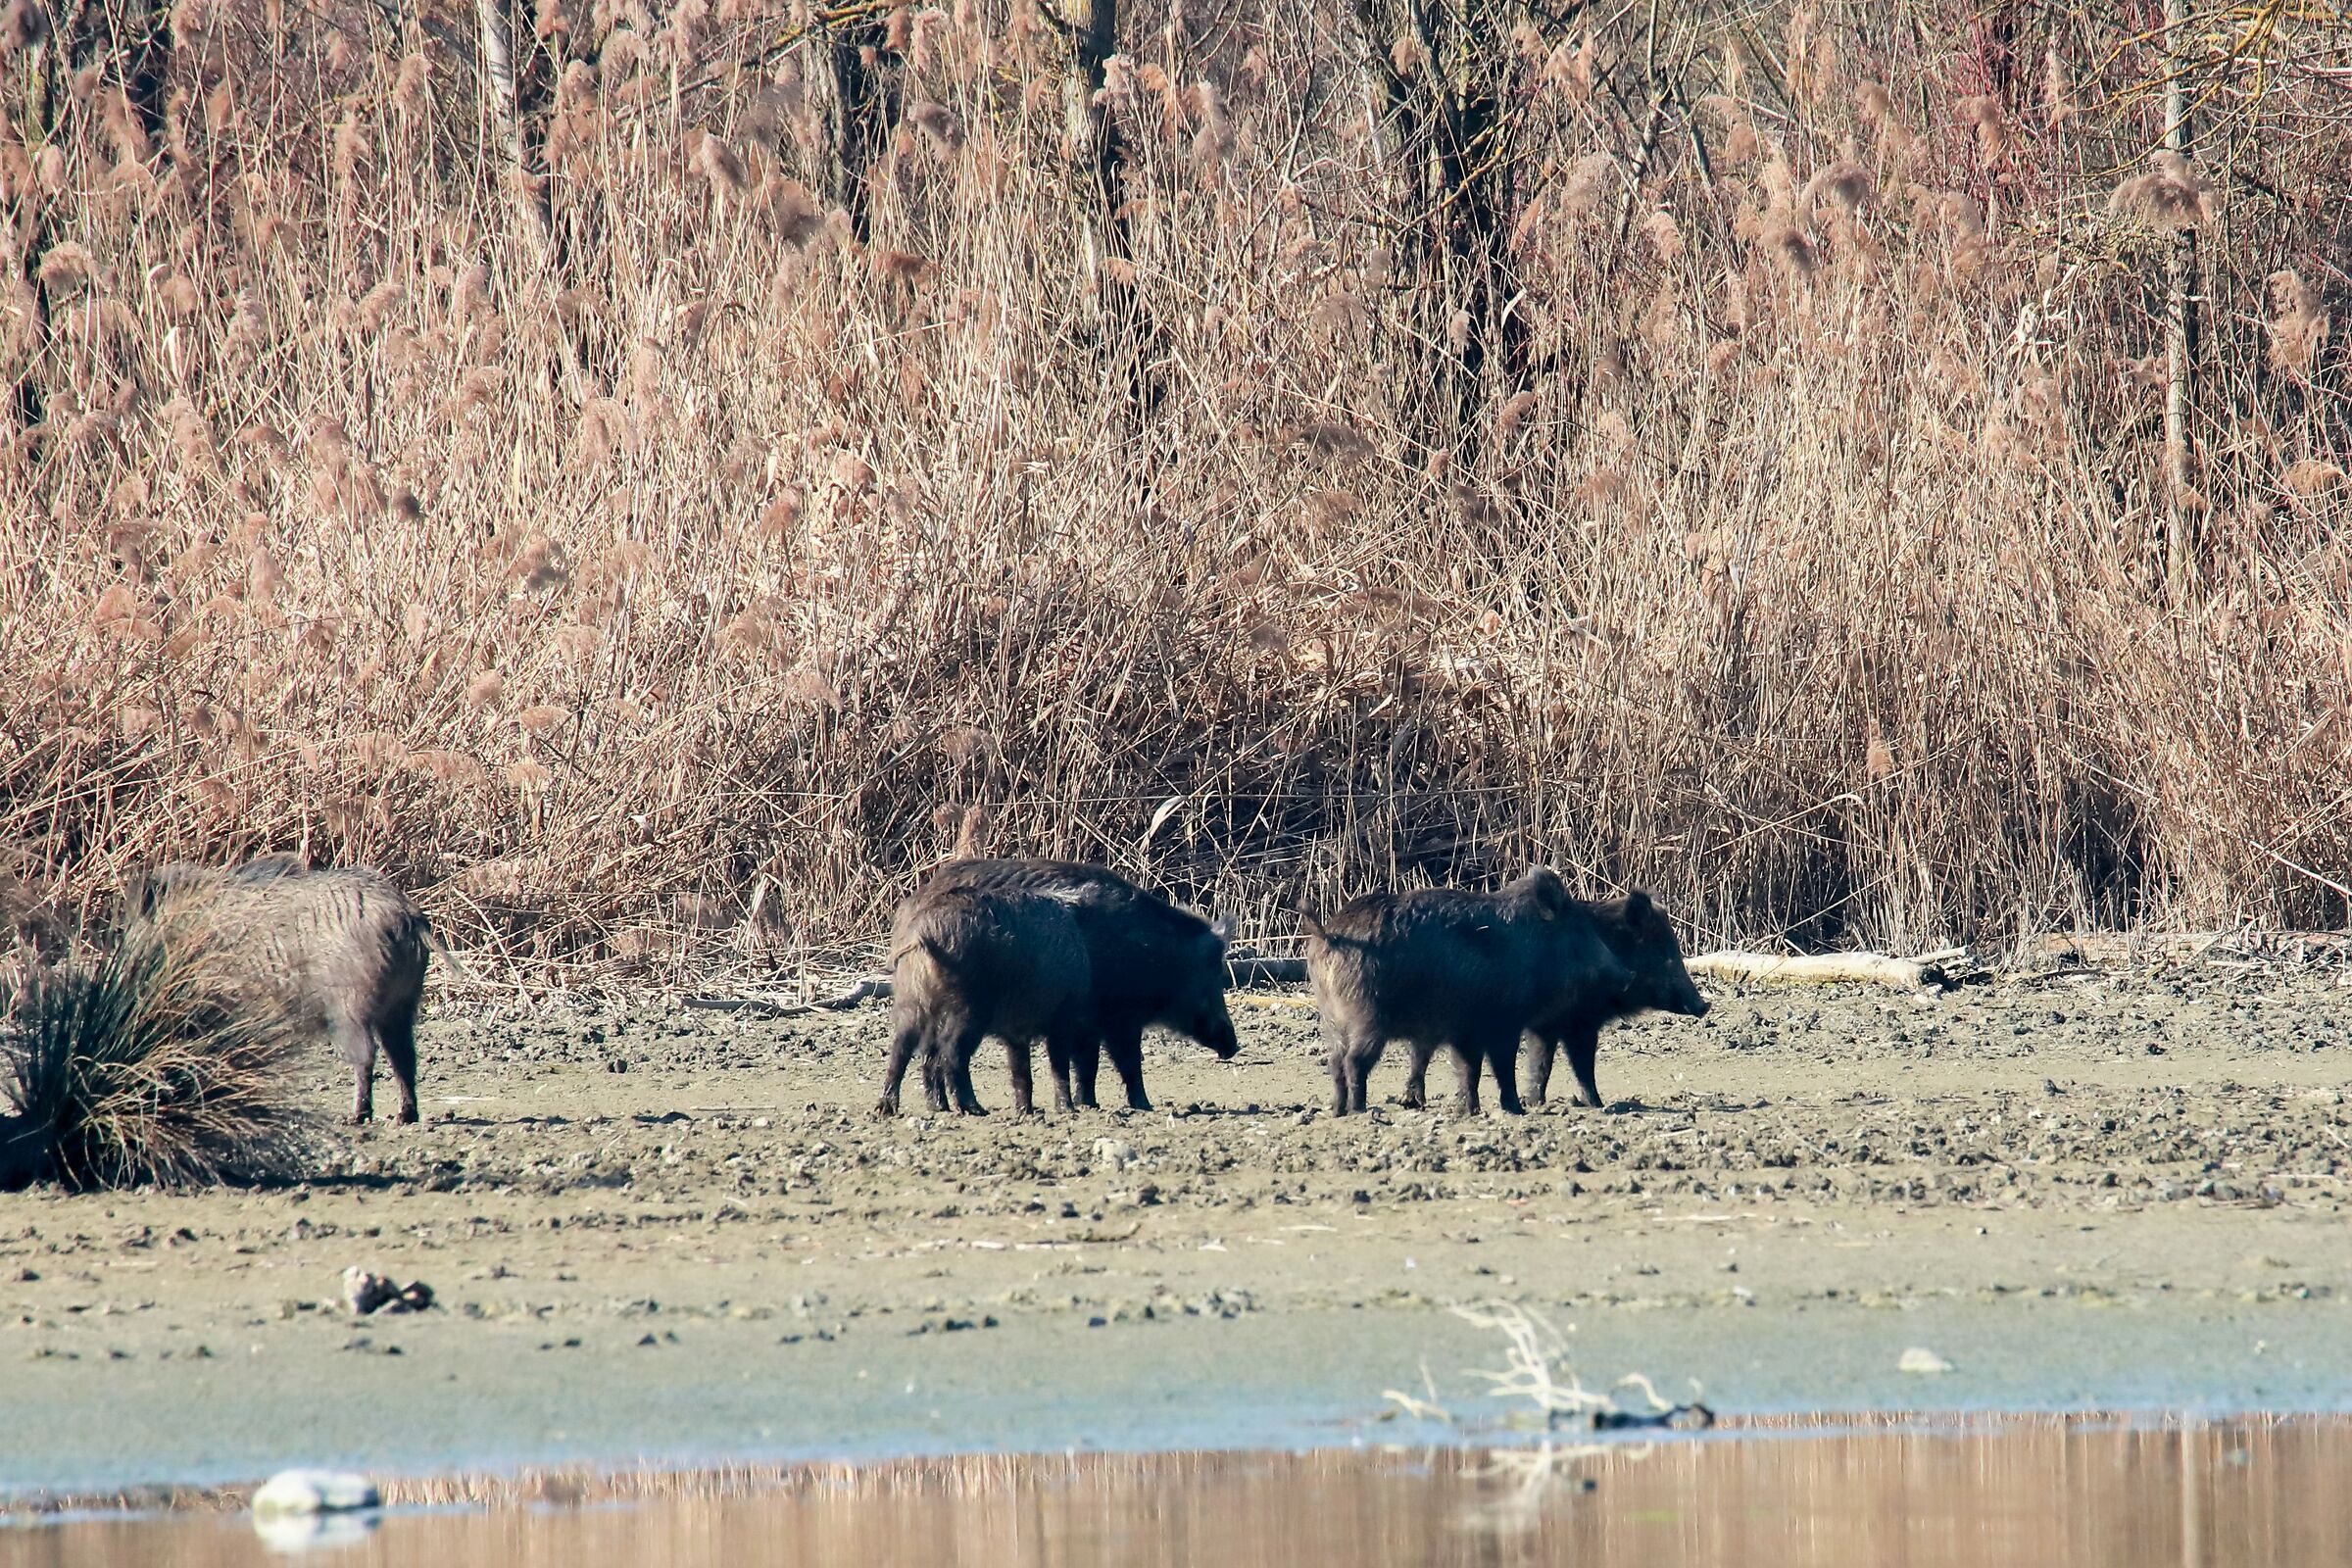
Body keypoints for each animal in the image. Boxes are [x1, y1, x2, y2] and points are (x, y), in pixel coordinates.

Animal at [125, 855, 432, 1125]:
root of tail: (407, 915)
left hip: (351, 1009)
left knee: (366, 1056)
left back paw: (356, 1117)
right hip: (401, 1006)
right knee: (404, 1057)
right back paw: (405, 1116)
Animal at [874, 883, 1096, 1118]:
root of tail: (921, 933)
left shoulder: (1018, 1031)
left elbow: (1021, 1070)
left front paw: (1026, 1112)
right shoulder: (1062, 1017)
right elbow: (1058, 1065)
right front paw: (1068, 1110)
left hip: (911, 1000)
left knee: (903, 1048)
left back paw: (894, 1108)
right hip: (968, 1010)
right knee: (950, 1052)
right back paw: (974, 1109)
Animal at [917, 858, 1240, 1111]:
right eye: (1213, 975)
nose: (1233, 1045)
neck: (1154, 956)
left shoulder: (1089, 1025)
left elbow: (1088, 1064)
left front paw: (1090, 1104)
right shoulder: (1119, 1019)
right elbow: (1127, 1061)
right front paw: (1143, 1105)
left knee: (930, 1055)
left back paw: (939, 1106)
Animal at [1306, 868, 1626, 1117]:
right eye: (1579, 930)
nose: (1626, 975)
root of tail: (1329, 935)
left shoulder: (1466, 1032)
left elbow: (1468, 1068)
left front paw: (1470, 1110)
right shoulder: (1502, 1022)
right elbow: (1502, 1066)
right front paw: (1515, 1109)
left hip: (1333, 1022)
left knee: (1335, 1062)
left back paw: (1337, 1110)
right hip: (1367, 1019)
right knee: (1354, 1062)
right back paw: (1360, 1111)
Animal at [1397, 886, 1711, 1112]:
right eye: (1663, 953)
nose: (1704, 1005)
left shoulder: (1547, 1025)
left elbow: (1541, 1064)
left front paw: (1535, 1102)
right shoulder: (1579, 1022)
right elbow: (1582, 1065)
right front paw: (1597, 1104)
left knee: (1420, 1050)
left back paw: (1412, 1102)